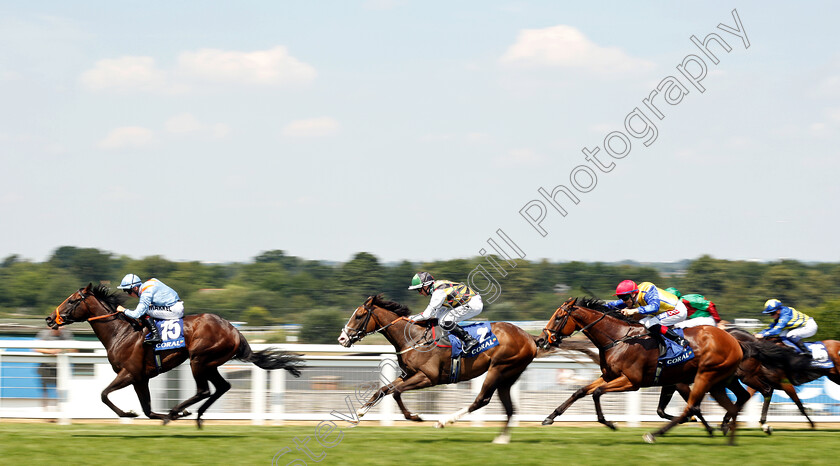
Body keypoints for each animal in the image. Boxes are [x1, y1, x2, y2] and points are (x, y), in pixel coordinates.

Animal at [45, 282, 302, 428]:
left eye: (72, 300)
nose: (49, 319)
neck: (121, 332)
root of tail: (234, 330)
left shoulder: (130, 373)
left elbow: (104, 395)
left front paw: (129, 413)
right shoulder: (141, 378)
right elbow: (147, 410)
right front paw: (151, 415)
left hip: (199, 359)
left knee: (204, 389)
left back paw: (177, 411)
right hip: (211, 363)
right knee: (222, 386)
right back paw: (196, 416)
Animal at [336, 294, 544, 444]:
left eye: (359, 315)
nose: (342, 338)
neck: (413, 337)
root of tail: (529, 336)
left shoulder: (427, 377)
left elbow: (396, 392)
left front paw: (415, 417)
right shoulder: (408, 374)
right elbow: (383, 389)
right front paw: (359, 413)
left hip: (499, 369)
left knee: (481, 399)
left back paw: (444, 421)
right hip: (508, 376)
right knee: (510, 408)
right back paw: (501, 439)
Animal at [540, 298, 748, 444]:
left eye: (558, 317)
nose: (542, 340)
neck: (618, 339)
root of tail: (733, 340)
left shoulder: (632, 381)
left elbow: (597, 393)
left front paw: (610, 423)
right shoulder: (609, 376)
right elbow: (580, 391)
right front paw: (550, 417)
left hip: (706, 375)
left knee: (692, 407)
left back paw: (658, 434)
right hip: (720, 380)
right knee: (739, 398)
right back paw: (725, 428)